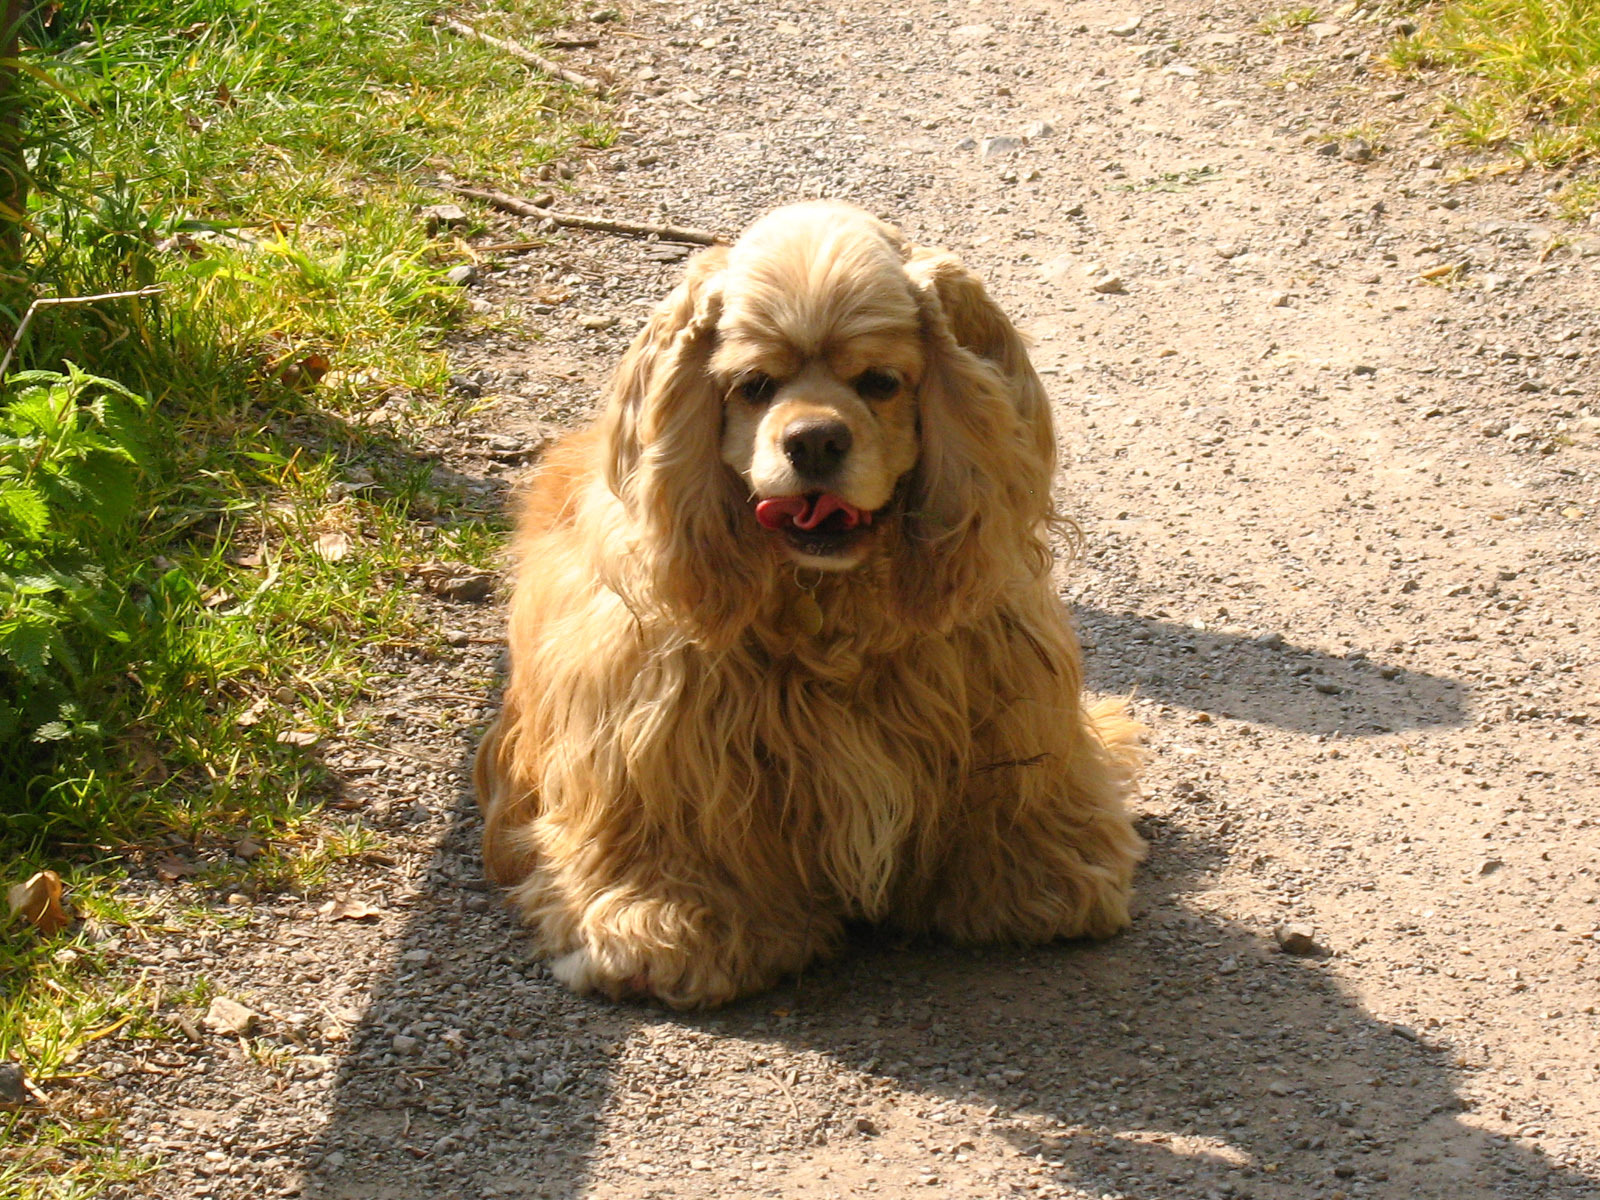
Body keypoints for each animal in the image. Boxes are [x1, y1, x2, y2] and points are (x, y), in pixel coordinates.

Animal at [467, 202, 1145, 1011]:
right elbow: (670, 828)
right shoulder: (656, 724)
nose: (815, 440)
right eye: (754, 384)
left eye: (881, 381)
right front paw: (673, 926)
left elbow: (1016, 790)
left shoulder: (1001, 694)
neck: (829, 604)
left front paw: (1038, 881)